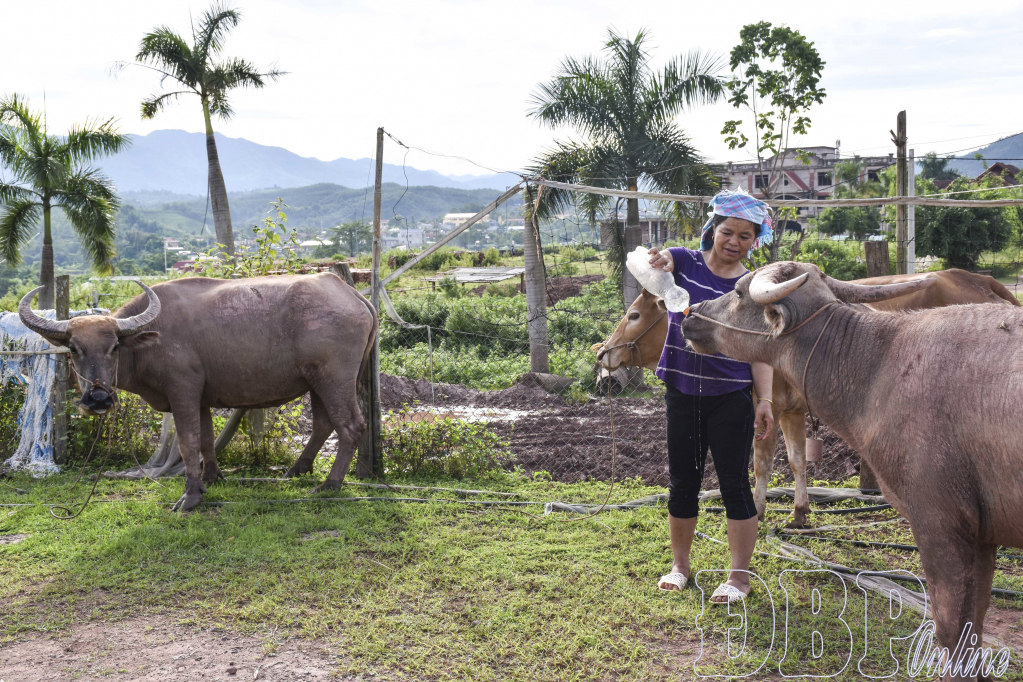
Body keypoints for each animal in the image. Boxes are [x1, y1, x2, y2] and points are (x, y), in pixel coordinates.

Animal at [18, 274, 377, 512]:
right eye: (74, 349)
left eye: (114, 347)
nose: (98, 399)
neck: (152, 339)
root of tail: (348, 291)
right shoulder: (202, 399)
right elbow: (205, 440)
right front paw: (213, 478)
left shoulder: (183, 393)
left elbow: (188, 444)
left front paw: (190, 496)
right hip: (315, 382)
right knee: (324, 425)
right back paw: (297, 471)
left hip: (334, 379)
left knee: (351, 426)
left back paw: (330, 484)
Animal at [594, 269, 1019, 528]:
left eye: (634, 315)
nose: (603, 354)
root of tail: (979, 279)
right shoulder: (793, 412)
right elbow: (798, 461)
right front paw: (799, 511)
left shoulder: (767, 413)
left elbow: (763, 465)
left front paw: (761, 510)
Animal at [680, 261, 1023, 679]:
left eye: (740, 292)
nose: (691, 314)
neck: (877, 368)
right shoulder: (984, 535)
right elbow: (975, 623)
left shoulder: (940, 520)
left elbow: (952, 631)